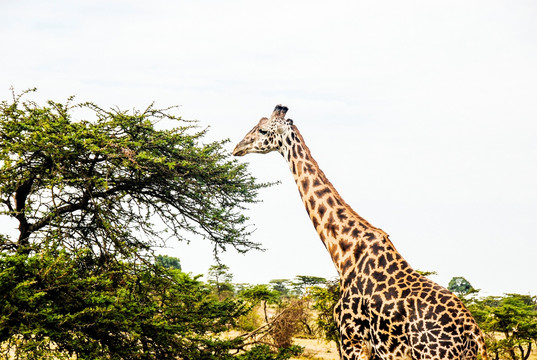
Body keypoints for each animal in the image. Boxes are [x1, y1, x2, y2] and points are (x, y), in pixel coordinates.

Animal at [232, 105, 488, 360]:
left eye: (262, 130)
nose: (237, 148)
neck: (344, 252)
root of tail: (474, 335)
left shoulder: (351, 338)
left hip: (433, 355)